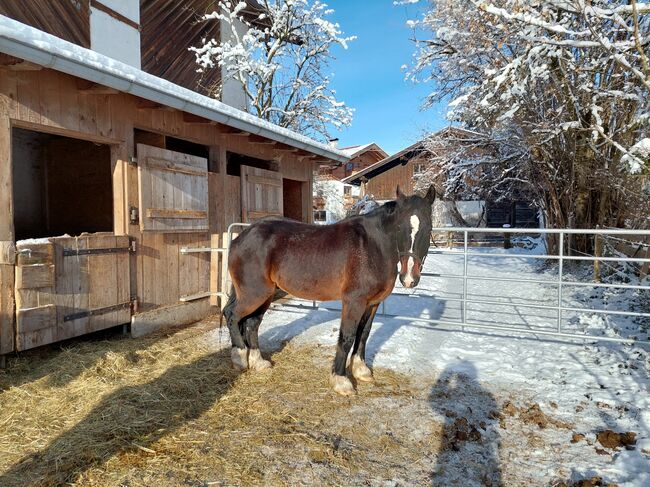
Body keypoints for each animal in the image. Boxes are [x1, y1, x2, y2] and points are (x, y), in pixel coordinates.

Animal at [224, 187, 436, 396]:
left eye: (428, 229)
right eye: (399, 228)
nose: (409, 278)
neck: (372, 246)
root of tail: (242, 237)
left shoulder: (373, 303)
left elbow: (363, 334)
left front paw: (361, 371)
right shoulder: (354, 302)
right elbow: (347, 337)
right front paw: (341, 380)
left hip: (267, 294)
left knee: (252, 323)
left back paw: (258, 362)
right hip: (254, 294)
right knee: (232, 315)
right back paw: (239, 357)